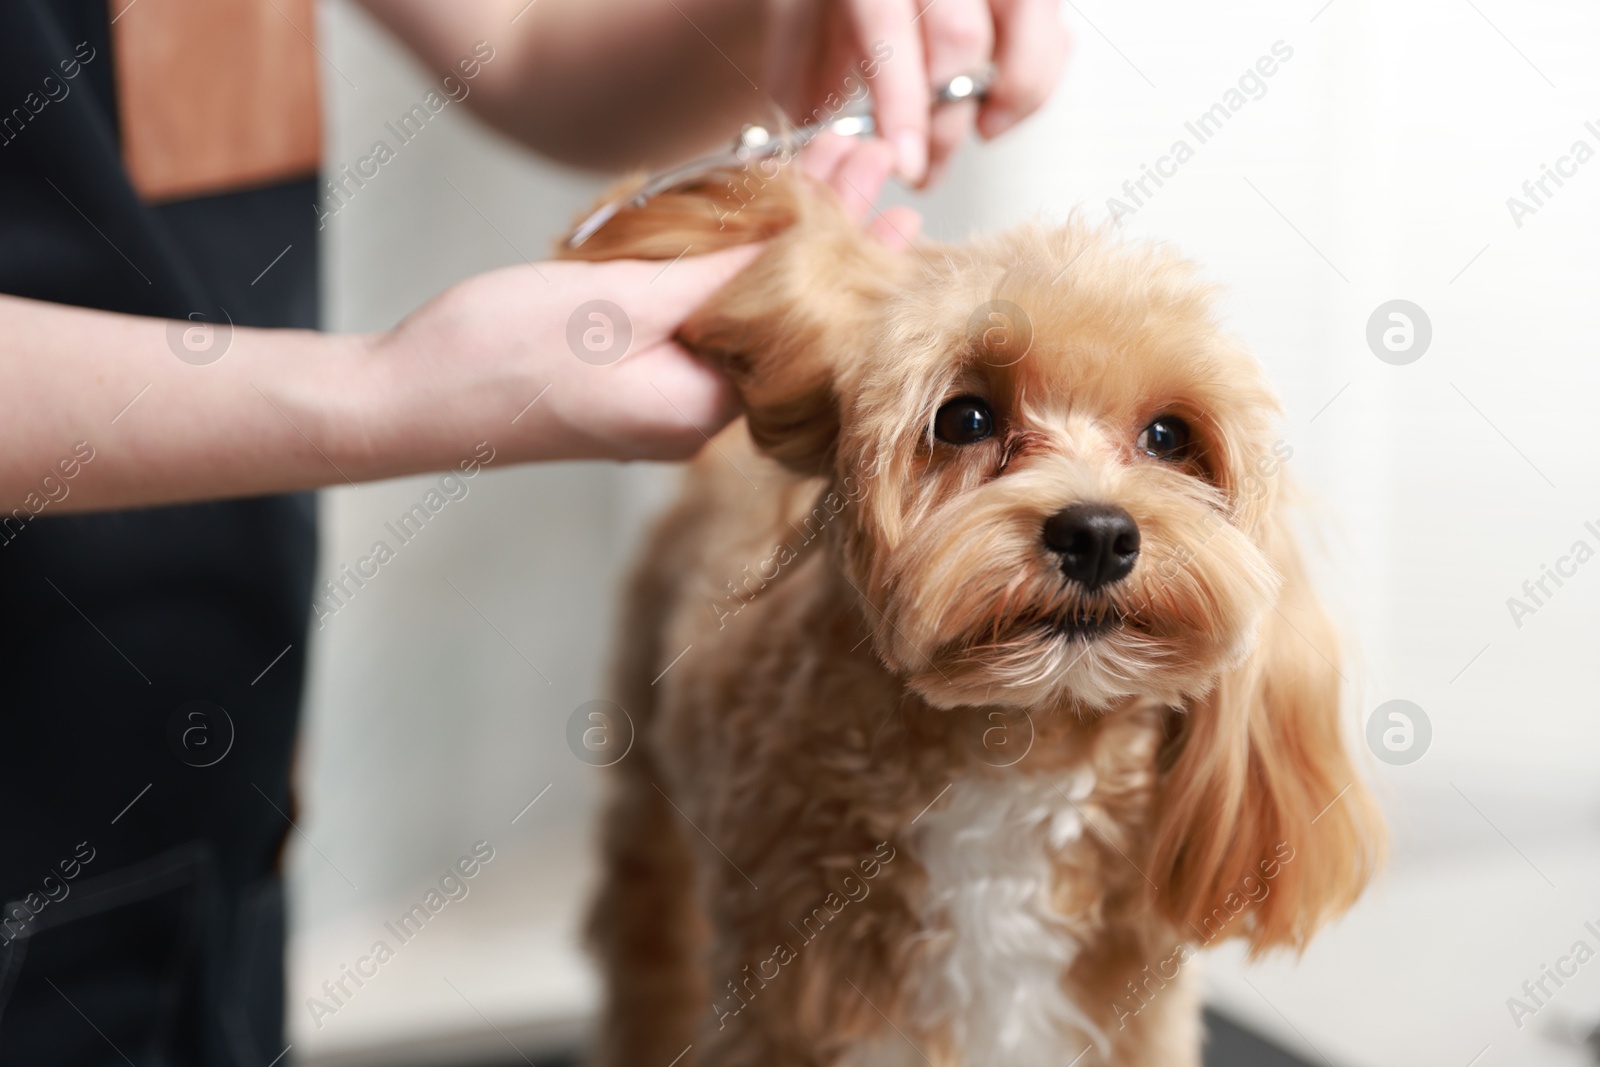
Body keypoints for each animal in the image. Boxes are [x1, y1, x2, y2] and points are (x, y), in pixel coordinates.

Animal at [560, 160, 1376, 1067]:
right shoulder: (779, 1007)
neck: (1016, 749)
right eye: (964, 418)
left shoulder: (1134, 1018)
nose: (1097, 534)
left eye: (1168, 436)